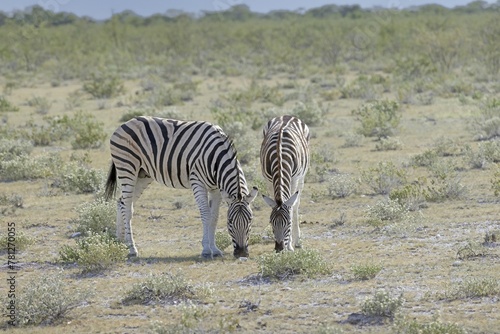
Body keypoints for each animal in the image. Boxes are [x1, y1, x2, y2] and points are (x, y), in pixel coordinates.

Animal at [102, 116, 258, 260]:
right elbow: (206, 215)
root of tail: (125, 123)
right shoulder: (197, 182)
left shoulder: (216, 189)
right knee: (128, 208)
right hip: (127, 167)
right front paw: (206, 250)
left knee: (122, 202)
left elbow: (214, 217)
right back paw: (132, 249)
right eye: (230, 221)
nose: (241, 253)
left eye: (250, 220)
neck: (216, 158)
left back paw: (120, 242)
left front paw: (215, 249)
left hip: (143, 174)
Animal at [260, 116, 310, 252]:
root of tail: (286, 116)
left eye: (288, 223)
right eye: (271, 222)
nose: (279, 248)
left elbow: (291, 207)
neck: (279, 155)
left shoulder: (294, 178)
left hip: (302, 177)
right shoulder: (268, 180)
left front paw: (290, 245)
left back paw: (297, 241)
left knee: (296, 204)